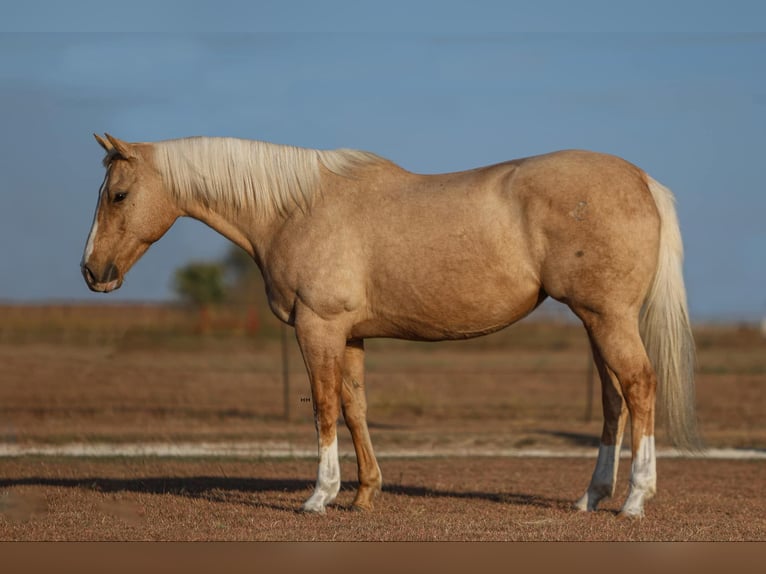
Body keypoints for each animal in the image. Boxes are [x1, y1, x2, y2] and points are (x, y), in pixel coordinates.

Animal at [81, 133, 698, 518]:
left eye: (119, 195)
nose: (92, 272)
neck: (295, 209)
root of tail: (642, 180)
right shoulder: (351, 335)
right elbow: (354, 406)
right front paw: (363, 494)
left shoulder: (318, 328)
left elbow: (324, 407)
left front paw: (319, 496)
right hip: (596, 321)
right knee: (615, 400)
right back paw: (591, 497)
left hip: (608, 317)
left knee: (639, 388)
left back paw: (635, 499)